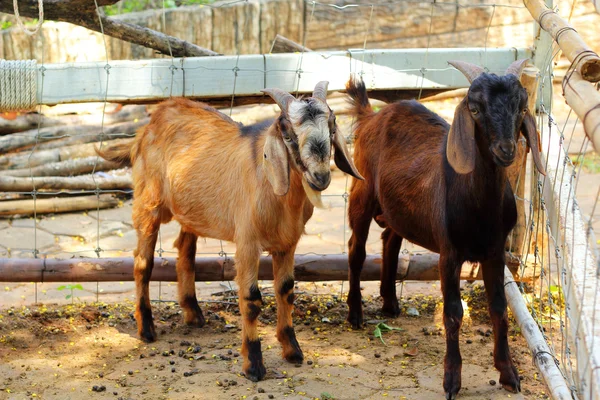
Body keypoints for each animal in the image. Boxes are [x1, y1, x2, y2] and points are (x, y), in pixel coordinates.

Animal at [96, 83, 364, 382]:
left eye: (331, 126)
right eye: (288, 134)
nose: (320, 177)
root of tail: (149, 124)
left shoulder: (287, 244)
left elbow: (286, 290)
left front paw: (293, 350)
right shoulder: (247, 242)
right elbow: (251, 298)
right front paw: (254, 365)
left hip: (191, 210)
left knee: (184, 249)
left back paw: (193, 314)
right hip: (148, 204)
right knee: (143, 262)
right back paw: (146, 329)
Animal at [344, 60, 548, 400]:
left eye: (521, 108)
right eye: (475, 108)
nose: (506, 150)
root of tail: (372, 115)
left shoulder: (495, 252)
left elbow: (499, 309)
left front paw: (509, 373)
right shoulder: (449, 255)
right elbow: (453, 314)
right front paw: (451, 380)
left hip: (400, 210)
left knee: (390, 240)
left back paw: (390, 303)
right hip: (362, 193)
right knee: (356, 250)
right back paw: (356, 314)